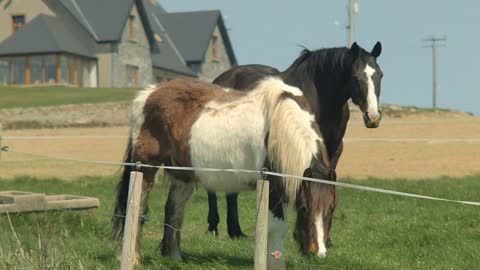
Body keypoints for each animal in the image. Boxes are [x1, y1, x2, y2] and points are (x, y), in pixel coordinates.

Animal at [112, 77, 338, 268]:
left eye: (332, 208)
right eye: (303, 208)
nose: (318, 253)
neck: (280, 128)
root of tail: (148, 94)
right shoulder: (273, 190)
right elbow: (276, 229)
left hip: (183, 175)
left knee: (174, 211)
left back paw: (175, 258)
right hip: (145, 169)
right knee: (138, 210)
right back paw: (133, 259)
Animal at [208, 41, 384, 239]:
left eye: (380, 75)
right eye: (355, 76)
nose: (373, 117)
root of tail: (219, 80)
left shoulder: (333, 151)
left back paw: (235, 231)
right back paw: (214, 226)